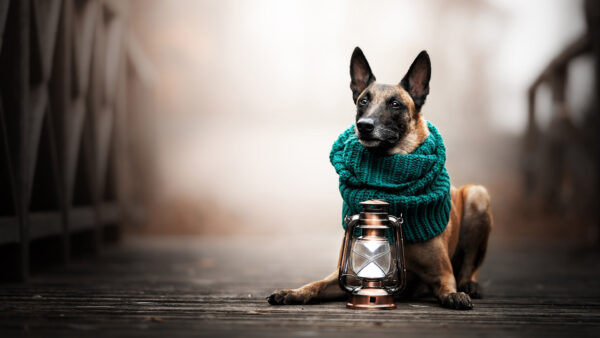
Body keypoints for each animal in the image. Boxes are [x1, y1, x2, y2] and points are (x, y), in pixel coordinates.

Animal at [268, 46, 492, 308]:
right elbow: (317, 284)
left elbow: (448, 285)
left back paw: (470, 285)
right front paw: (294, 292)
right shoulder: (348, 272)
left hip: (478, 196)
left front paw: (454, 295)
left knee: (469, 266)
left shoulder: (442, 273)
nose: (364, 125)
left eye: (395, 104)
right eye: (363, 101)